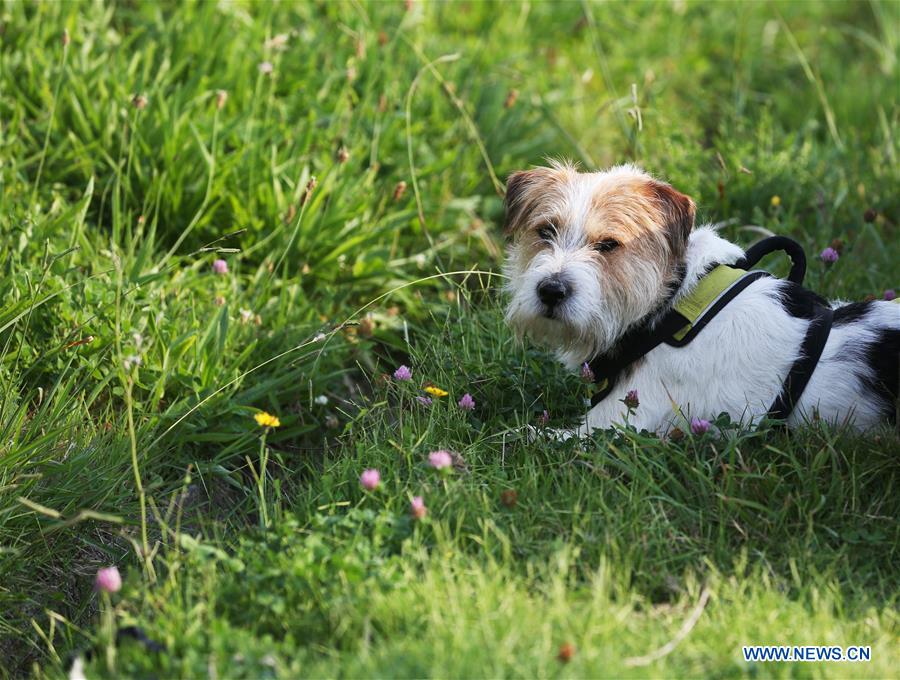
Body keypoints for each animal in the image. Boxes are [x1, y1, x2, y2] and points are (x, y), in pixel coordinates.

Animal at [506, 161, 900, 432]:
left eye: (608, 245)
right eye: (545, 231)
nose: (551, 290)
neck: (670, 306)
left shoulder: (613, 427)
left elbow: (524, 439)